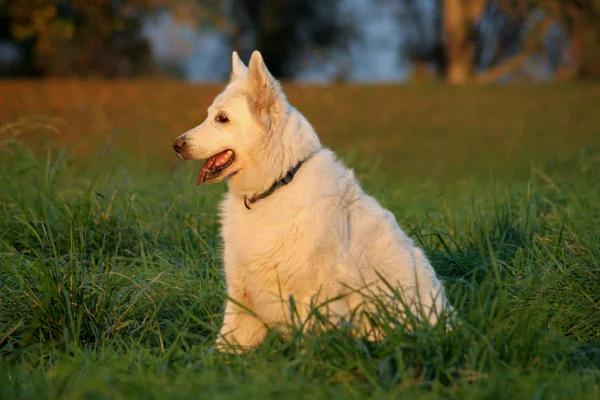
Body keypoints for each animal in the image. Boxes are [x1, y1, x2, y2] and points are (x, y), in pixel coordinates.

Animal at [172, 50, 450, 354]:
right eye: (210, 115)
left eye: (222, 119)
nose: (176, 145)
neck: (276, 185)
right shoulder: (243, 300)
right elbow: (223, 349)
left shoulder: (314, 303)